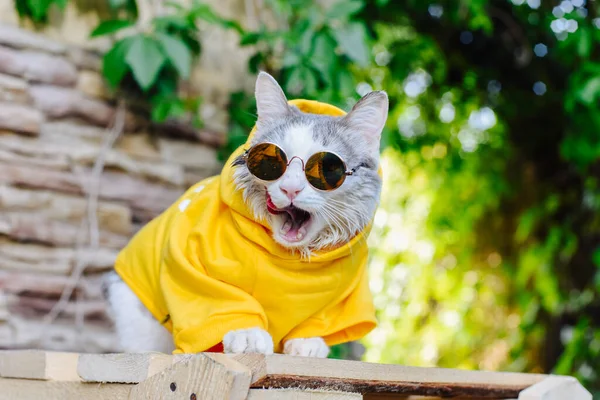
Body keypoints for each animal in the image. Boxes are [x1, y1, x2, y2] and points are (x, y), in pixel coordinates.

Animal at [106, 72, 390, 356]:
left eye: (328, 168)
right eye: (271, 161)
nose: (290, 188)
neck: (289, 264)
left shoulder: (339, 299)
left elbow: (317, 321)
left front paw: (308, 342)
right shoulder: (191, 263)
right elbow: (226, 300)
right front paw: (248, 334)